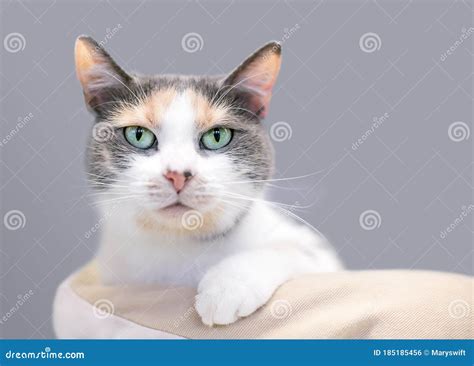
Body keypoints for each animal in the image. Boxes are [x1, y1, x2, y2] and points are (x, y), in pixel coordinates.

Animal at [74, 35, 342, 326]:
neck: (179, 248)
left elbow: (288, 251)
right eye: (138, 135)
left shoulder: (317, 254)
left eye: (217, 136)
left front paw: (228, 287)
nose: (178, 174)